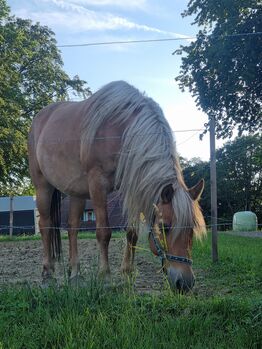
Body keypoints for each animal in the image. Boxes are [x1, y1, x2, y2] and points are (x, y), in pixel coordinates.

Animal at [28, 80, 205, 290]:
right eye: (165, 227)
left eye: (191, 228)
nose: (184, 283)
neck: (121, 130)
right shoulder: (98, 184)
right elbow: (104, 232)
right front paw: (105, 276)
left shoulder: (129, 186)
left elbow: (132, 232)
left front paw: (128, 272)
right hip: (42, 186)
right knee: (45, 225)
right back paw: (48, 274)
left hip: (77, 192)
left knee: (72, 228)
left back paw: (75, 274)